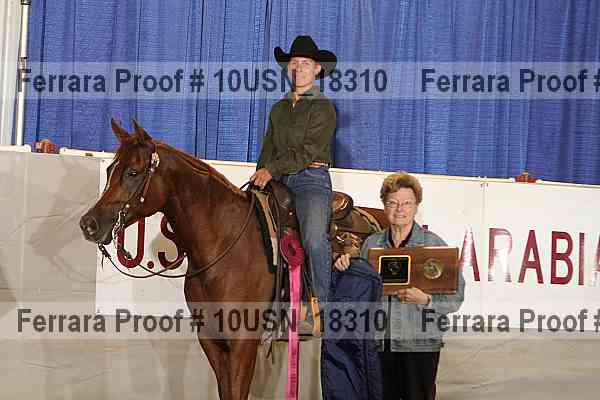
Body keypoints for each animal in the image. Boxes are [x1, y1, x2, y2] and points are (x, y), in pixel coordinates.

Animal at [80, 119, 274, 400]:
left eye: (133, 173)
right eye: (109, 170)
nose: (89, 224)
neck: (225, 244)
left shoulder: (243, 342)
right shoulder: (212, 340)